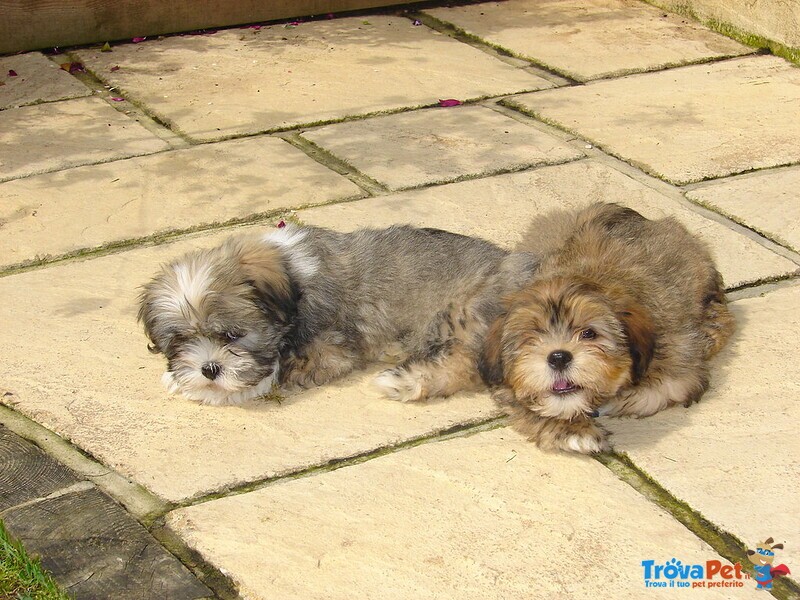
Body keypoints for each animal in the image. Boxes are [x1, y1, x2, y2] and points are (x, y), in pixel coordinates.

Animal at [138, 223, 536, 406]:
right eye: (180, 339)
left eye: (232, 335)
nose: (209, 369)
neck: (292, 278)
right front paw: (182, 376)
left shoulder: (330, 348)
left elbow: (279, 366)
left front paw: (215, 389)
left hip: (462, 312)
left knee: (464, 364)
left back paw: (404, 381)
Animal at [478, 204, 736, 452]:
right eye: (531, 338)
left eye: (589, 333)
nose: (559, 357)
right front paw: (573, 429)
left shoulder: (678, 371)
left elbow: (653, 393)